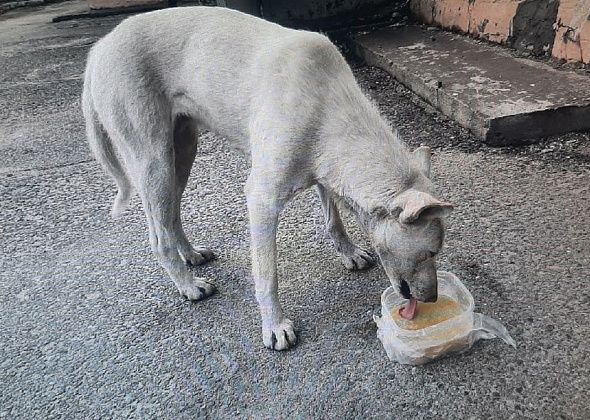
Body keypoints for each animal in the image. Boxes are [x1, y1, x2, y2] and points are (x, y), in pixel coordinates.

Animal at [82, 5, 454, 352]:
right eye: (431, 252)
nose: (433, 299)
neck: (327, 106)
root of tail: (99, 48)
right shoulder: (261, 199)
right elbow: (267, 274)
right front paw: (274, 325)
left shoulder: (324, 171)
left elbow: (333, 219)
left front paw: (348, 252)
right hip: (155, 161)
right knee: (159, 236)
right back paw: (188, 285)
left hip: (182, 152)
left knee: (171, 216)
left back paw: (190, 255)